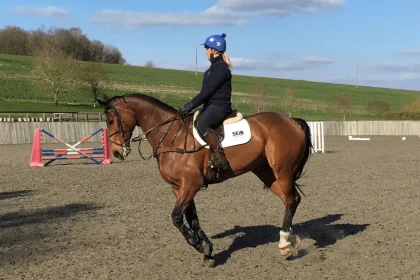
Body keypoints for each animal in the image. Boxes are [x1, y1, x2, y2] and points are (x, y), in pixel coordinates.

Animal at [95, 93, 312, 268]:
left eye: (111, 120)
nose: (116, 152)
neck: (171, 135)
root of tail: (291, 121)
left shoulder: (191, 185)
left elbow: (176, 217)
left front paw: (198, 244)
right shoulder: (179, 187)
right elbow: (192, 218)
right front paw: (207, 251)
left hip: (282, 171)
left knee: (291, 200)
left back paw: (284, 242)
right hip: (267, 173)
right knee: (291, 200)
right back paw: (290, 240)